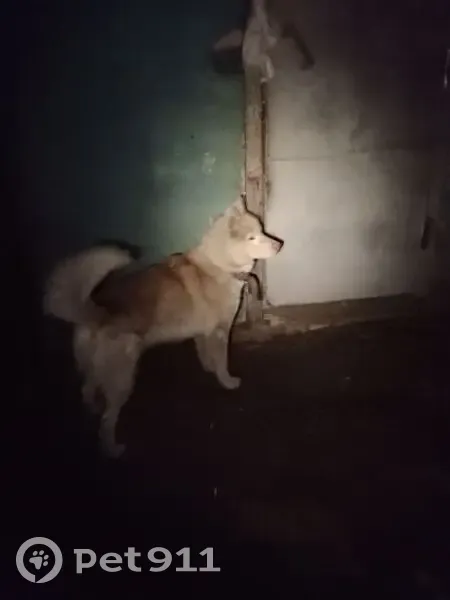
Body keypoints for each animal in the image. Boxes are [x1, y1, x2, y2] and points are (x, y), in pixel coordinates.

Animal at [43, 195, 283, 457]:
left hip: (96, 368)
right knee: (108, 418)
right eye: (252, 237)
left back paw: (92, 411)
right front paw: (227, 382)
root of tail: (95, 309)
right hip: (122, 378)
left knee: (87, 390)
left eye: (262, 230)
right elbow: (221, 362)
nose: (279, 245)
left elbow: (206, 356)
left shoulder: (203, 333)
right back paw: (111, 447)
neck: (219, 265)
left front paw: (209, 369)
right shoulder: (219, 332)